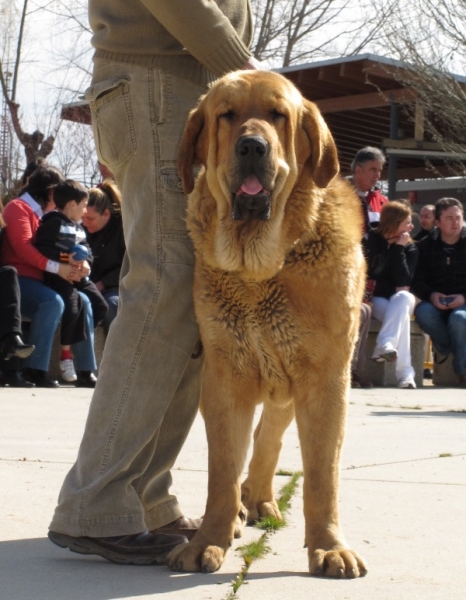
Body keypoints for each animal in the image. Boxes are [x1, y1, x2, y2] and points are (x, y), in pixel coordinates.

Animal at [167, 69, 368, 576]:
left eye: (278, 115)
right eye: (226, 115)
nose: (253, 147)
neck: (260, 269)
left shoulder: (326, 379)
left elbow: (321, 475)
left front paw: (329, 547)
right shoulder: (224, 377)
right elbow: (222, 469)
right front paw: (208, 540)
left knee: (270, 439)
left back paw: (259, 501)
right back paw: (245, 508)